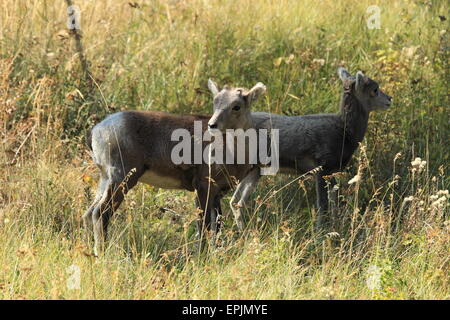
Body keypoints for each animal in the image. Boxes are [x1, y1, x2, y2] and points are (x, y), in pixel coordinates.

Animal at [83, 80, 266, 255]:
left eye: (236, 106)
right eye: (215, 102)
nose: (212, 125)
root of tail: (96, 131)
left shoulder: (217, 193)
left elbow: (217, 226)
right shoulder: (203, 187)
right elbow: (204, 226)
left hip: (106, 179)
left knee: (89, 213)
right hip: (121, 178)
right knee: (100, 213)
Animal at [217, 68, 390, 232]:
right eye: (374, 89)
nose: (390, 99)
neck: (344, 131)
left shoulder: (333, 172)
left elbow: (334, 204)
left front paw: (335, 227)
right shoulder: (321, 168)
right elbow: (322, 207)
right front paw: (320, 233)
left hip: (254, 170)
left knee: (236, 202)